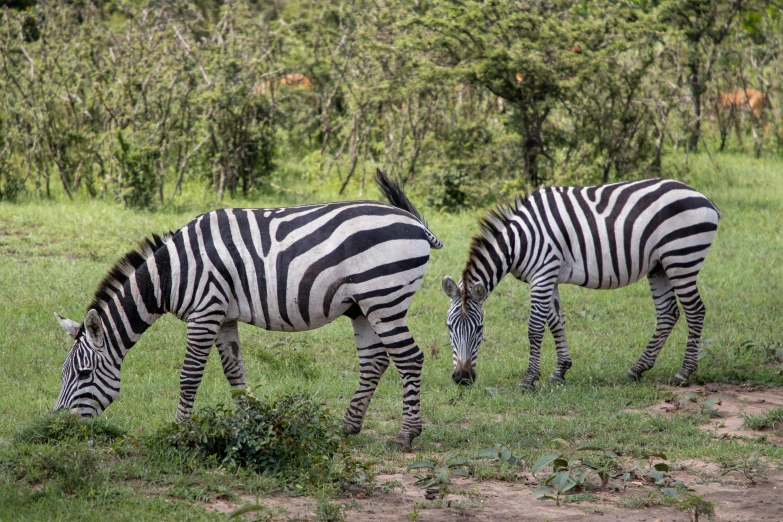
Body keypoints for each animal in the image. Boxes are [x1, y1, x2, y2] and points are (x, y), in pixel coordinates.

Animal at [54, 169, 440, 448]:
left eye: (83, 375)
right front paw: (246, 424)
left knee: (409, 358)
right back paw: (347, 428)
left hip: (384, 297)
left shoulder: (205, 311)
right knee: (375, 361)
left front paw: (179, 431)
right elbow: (235, 374)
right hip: (363, 306)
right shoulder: (223, 316)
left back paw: (406, 435)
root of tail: (416, 223)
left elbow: (189, 375)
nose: (57, 426)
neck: (171, 273)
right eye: (63, 373)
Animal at [440, 179, 724, 386]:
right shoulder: (549, 276)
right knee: (668, 313)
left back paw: (683, 373)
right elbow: (556, 322)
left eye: (479, 329)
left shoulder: (542, 274)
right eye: (449, 327)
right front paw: (560, 371)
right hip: (659, 266)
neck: (519, 241)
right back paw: (637, 369)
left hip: (682, 258)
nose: (462, 379)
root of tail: (704, 198)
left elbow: (535, 328)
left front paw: (529, 379)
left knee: (695, 311)